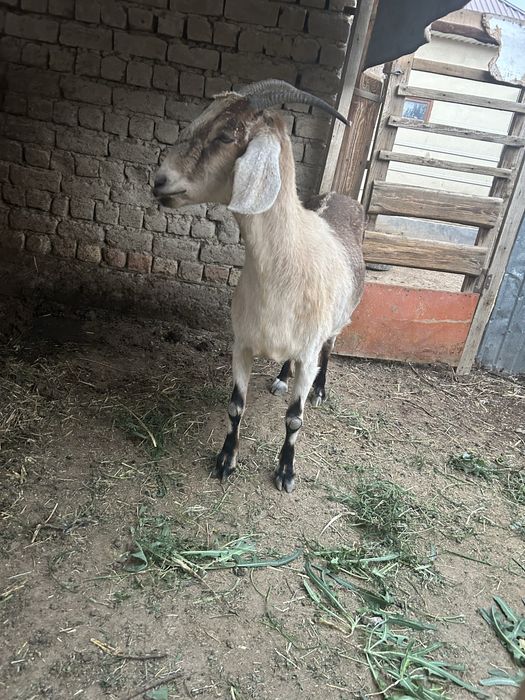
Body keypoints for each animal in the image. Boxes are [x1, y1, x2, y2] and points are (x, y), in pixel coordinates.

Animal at [153, 80, 365, 493]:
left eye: (225, 135)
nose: (160, 181)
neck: (284, 271)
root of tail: (340, 195)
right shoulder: (243, 342)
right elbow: (236, 406)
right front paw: (225, 461)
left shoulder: (309, 348)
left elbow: (295, 418)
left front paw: (286, 472)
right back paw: (281, 378)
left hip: (338, 322)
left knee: (330, 349)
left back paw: (320, 390)